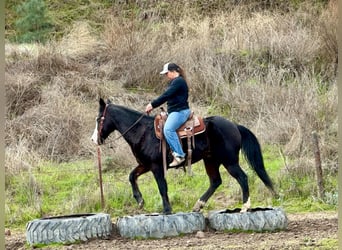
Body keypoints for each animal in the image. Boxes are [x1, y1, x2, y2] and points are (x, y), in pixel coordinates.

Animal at [92, 98, 276, 214]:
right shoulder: (145, 165)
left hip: (229, 161)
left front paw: (167, 210)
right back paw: (198, 206)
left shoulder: (156, 167)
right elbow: (132, 176)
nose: (94, 139)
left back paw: (245, 207)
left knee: (242, 178)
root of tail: (235, 126)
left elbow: (162, 187)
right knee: (215, 181)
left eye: (99, 119)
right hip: (211, 160)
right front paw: (140, 200)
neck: (143, 132)